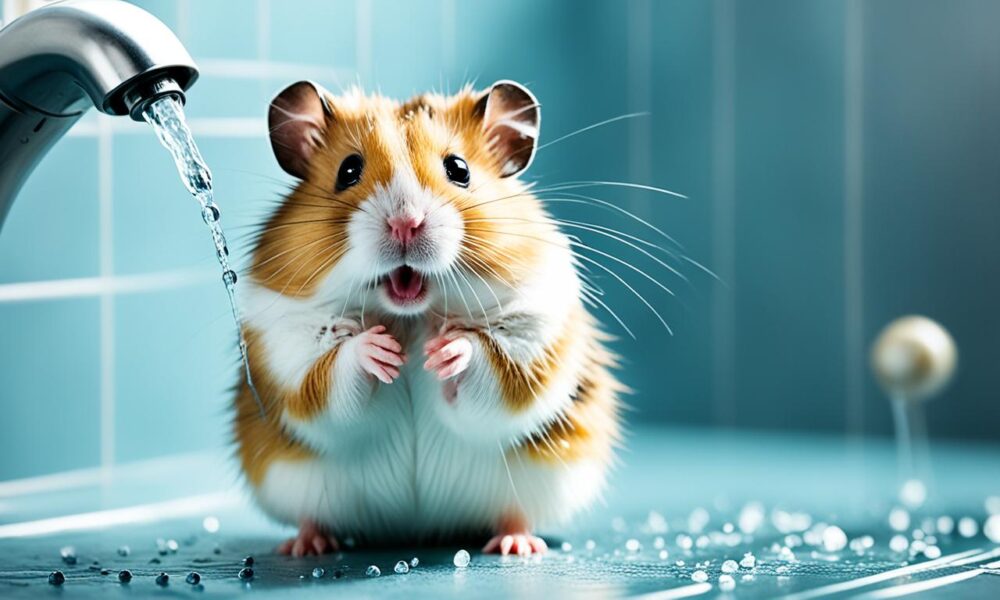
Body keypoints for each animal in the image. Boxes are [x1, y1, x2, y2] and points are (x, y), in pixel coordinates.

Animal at [233, 79, 624, 557]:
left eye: (459, 169)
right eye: (348, 170)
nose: (406, 223)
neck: (412, 315)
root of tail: (417, 528)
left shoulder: (532, 335)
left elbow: (487, 362)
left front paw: (444, 349)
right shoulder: (288, 345)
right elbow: (332, 374)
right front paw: (382, 350)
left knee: (515, 513)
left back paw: (517, 546)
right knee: (312, 517)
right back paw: (305, 547)